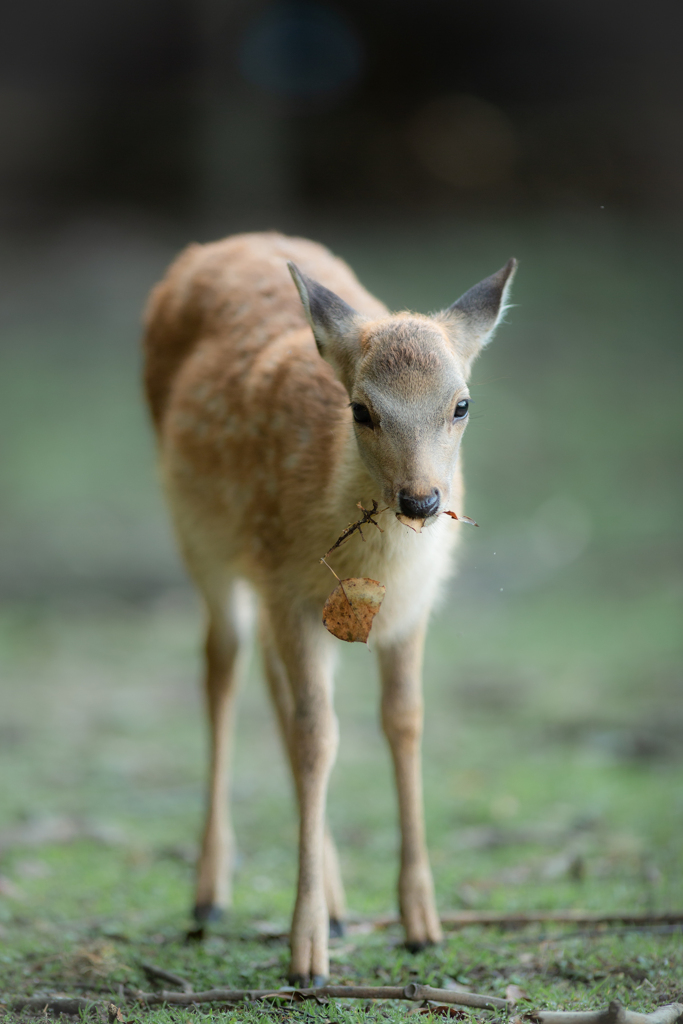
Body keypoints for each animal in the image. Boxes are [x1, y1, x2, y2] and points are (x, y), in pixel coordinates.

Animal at [144, 230, 518, 983]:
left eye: (461, 404)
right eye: (361, 409)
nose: (421, 500)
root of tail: (219, 244)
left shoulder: (407, 610)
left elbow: (403, 723)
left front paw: (422, 924)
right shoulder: (288, 590)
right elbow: (318, 737)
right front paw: (305, 952)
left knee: (271, 686)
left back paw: (341, 906)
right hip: (201, 541)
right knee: (222, 667)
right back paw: (210, 892)